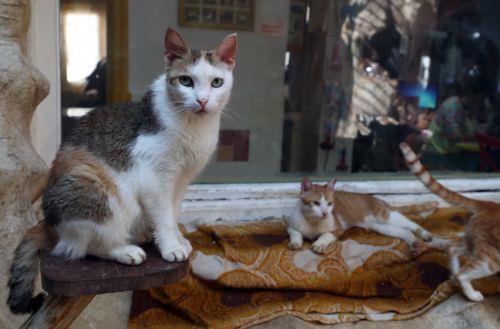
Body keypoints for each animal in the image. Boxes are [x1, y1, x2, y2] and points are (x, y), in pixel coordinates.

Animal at [6, 28, 236, 312]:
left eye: (216, 82)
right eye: (186, 81)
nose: (202, 100)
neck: (193, 126)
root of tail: (48, 224)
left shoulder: (181, 181)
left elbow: (172, 213)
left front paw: (175, 239)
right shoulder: (155, 180)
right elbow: (163, 216)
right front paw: (171, 246)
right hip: (91, 187)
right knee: (85, 245)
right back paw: (124, 250)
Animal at [286, 178, 438, 252]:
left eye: (329, 203)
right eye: (316, 203)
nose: (325, 213)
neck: (312, 222)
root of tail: (377, 199)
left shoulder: (338, 229)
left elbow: (325, 235)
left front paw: (319, 244)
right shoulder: (291, 226)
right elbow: (296, 233)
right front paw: (295, 242)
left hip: (385, 215)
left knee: (410, 224)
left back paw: (425, 235)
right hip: (381, 226)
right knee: (404, 231)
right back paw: (413, 243)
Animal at [400, 142, 500, 302]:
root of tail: (488, 205)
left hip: (476, 243)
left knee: (452, 247)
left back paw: (452, 275)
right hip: (492, 258)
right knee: (463, 274)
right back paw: (471, 294)